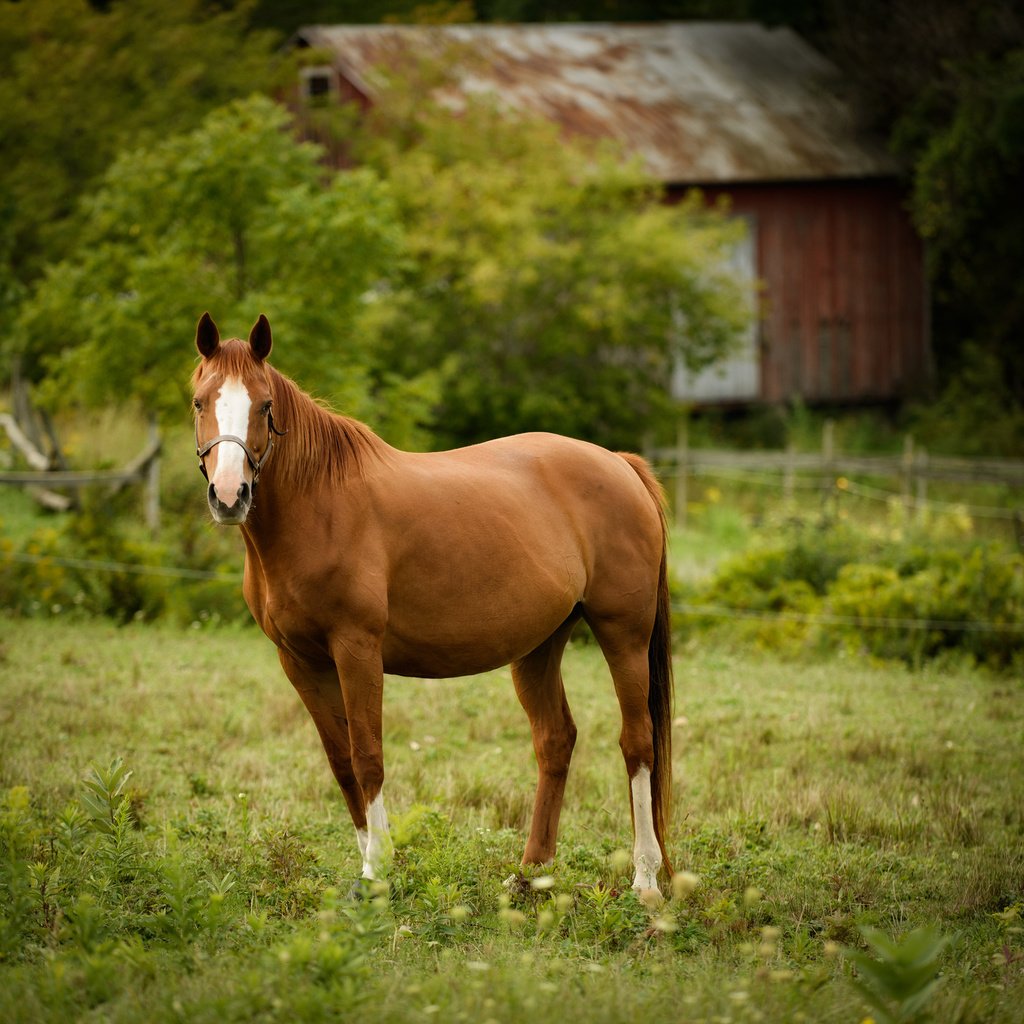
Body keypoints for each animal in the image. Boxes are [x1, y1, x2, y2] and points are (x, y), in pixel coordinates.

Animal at [191, 315, 671, 892]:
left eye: (264, 406)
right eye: (199, 402)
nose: (229, 495)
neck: (320, 505)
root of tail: (619, 464)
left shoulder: (357, 650)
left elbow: (368, 756)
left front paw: (378, 871)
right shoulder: (299, 661)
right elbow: (340, 761)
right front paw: (366, 865)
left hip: (624, 634)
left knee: (637, 743)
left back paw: (645, 881)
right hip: (540, 645)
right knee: (555, 740)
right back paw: (530, 875)